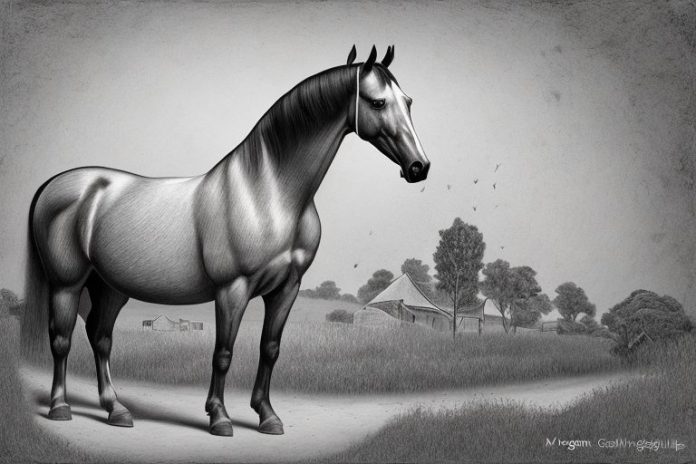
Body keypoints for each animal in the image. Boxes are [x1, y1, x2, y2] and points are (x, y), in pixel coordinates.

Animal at [21, 45, 429, 437]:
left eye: (408, 101)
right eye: (377, 102)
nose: (419, 167)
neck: (268, 193)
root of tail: (54, 185)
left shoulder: (286, 288)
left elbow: (270, 349)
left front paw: (267, 416)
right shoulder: (232, 289)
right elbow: (223, 352)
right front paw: (219, 418)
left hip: (109, 287)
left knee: (100, 337)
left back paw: (116, 410)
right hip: (67, 283)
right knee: (62, 339)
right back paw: (60, 408)